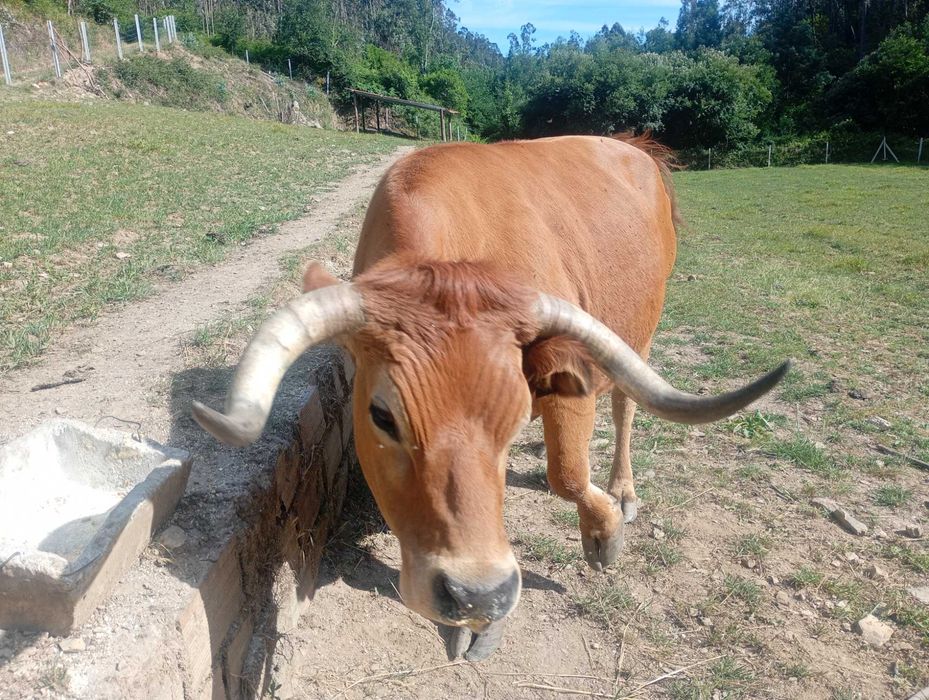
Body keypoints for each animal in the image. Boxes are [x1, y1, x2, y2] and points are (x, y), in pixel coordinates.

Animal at [192, 135, 789, 661]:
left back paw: (623, 489)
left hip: (640, 328)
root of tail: (633, 147)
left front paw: (604, 533)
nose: (480, 593)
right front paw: (471, 624)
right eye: (381, 416)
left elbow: (569, 473)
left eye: (518, 414)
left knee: (625, 404)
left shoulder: (571, 380)